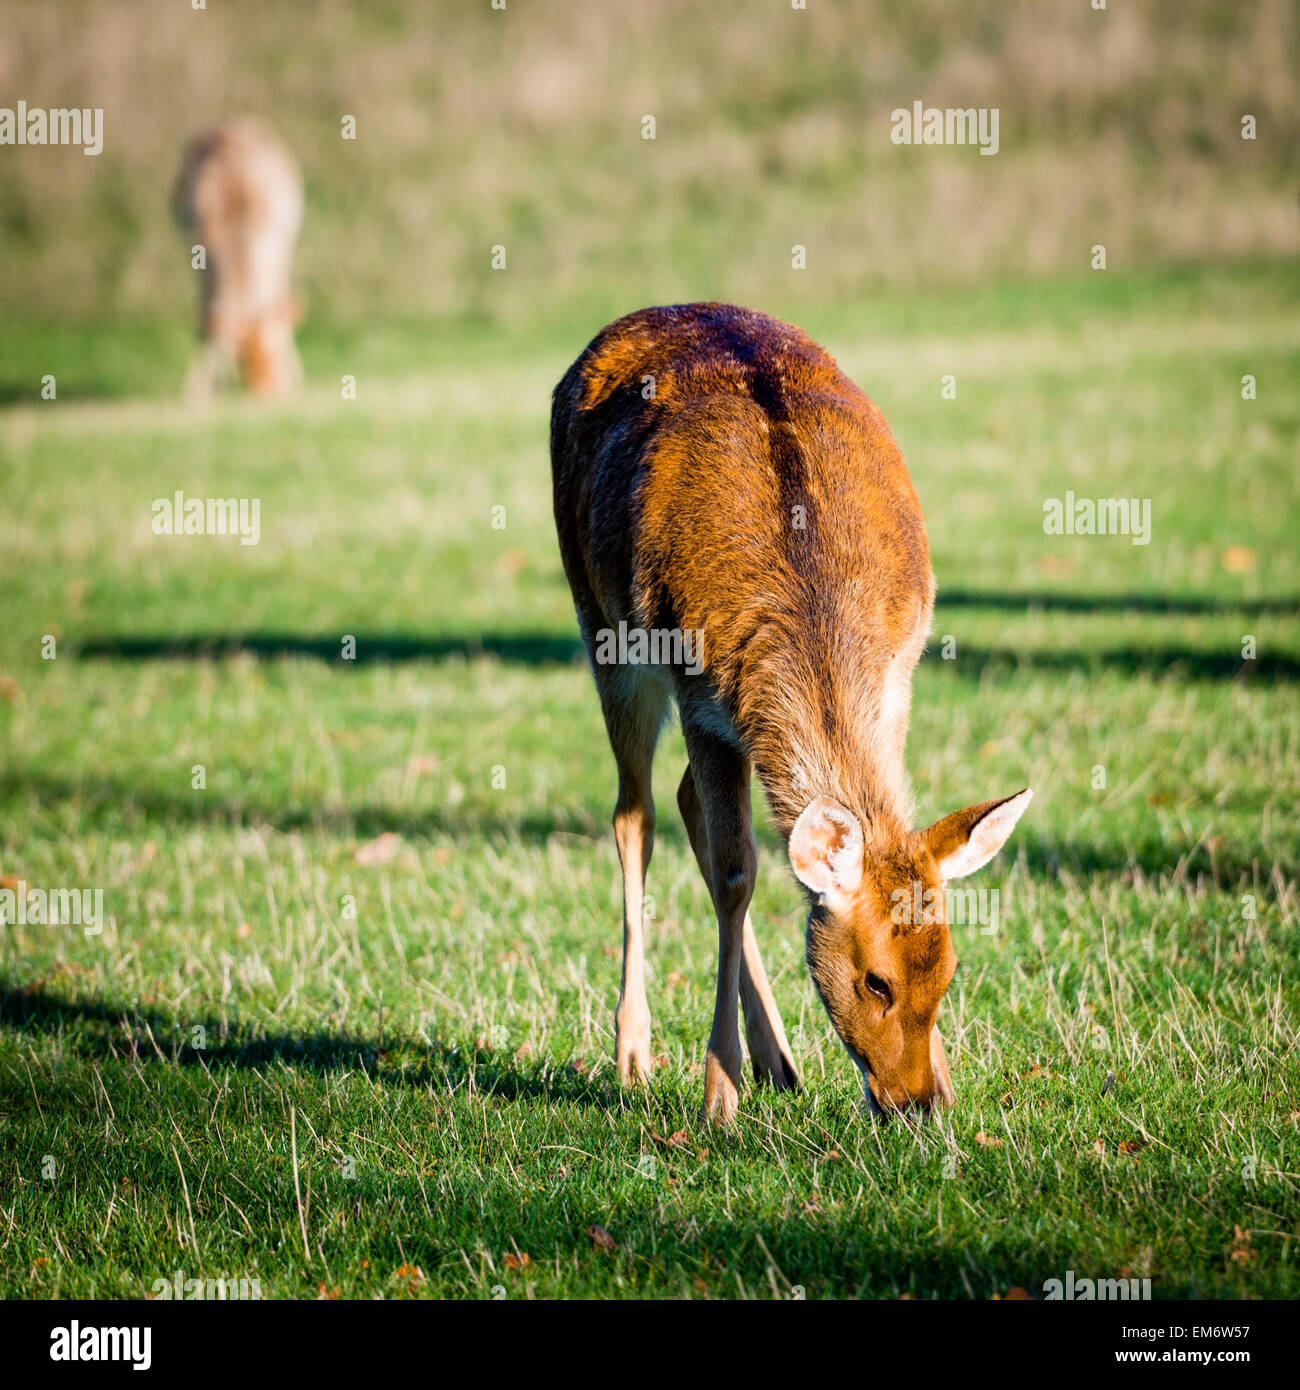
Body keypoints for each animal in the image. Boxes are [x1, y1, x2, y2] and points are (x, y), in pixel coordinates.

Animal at [173, 116, 304, 400]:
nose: (270, 394)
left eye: (272, 359)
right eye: (247, 366)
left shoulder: (282, 242)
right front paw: (199, 391)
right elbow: (210, 319)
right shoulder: (200, 249)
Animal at [550, 301, 1034, 1117]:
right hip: (600, 625)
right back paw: (635, 1053)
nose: (919, 1102)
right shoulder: (697, 693)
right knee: (633, 814)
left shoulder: (900, 678)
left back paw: (778, 1061)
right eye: (875, 982)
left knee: (681, 800)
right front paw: (718, 1097)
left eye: (948, 970)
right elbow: (737, 871)